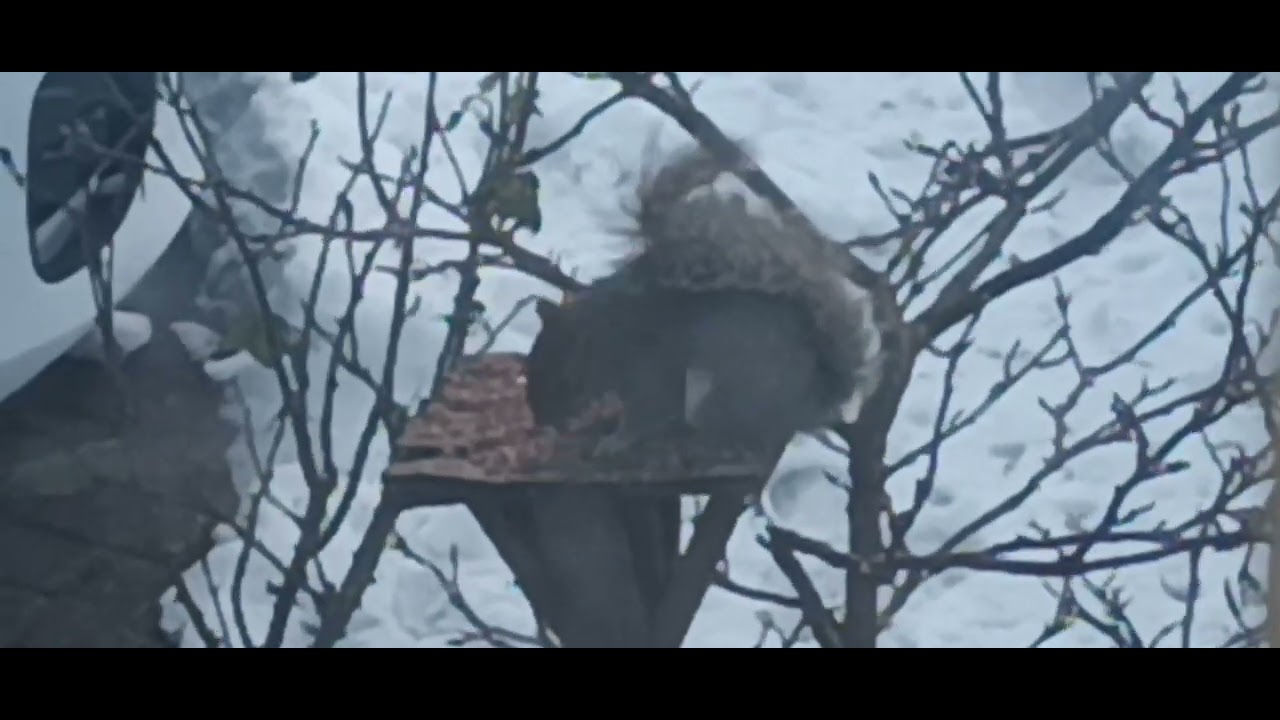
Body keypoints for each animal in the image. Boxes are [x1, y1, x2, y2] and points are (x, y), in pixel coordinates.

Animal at [525, 142, 884, 454]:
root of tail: (812, 403)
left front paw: (611, 443)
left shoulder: (650, 379)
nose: (544, 423)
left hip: (718, 399)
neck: (607, 337)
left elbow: (643, 419)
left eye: (569, 380)